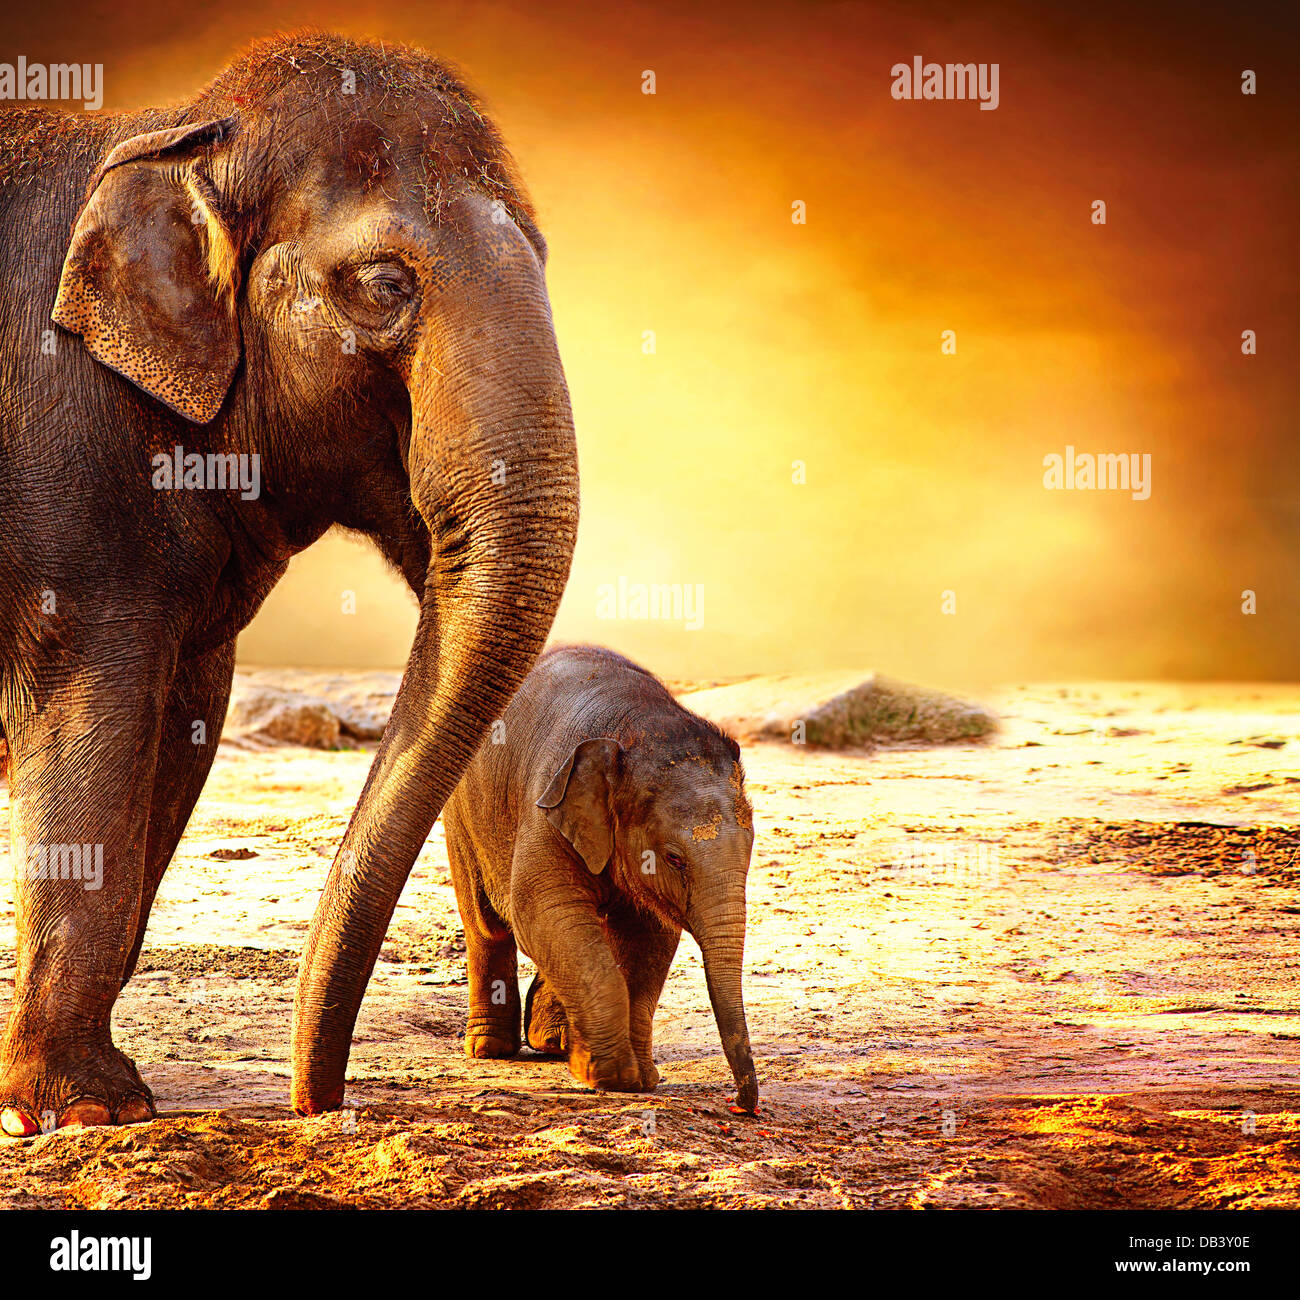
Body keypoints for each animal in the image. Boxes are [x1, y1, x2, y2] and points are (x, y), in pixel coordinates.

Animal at [0, 33, 579, 1134]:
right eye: (386, 284)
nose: (316, 1103)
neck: (176, 130)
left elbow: (179, 726)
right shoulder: (62, 474)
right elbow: (95, 718)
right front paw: (82, 1111)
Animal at [442, 644, 760, 1113]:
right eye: (674, 859)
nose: (741, 1102)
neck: (637, 724)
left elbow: (648, 939)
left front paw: (639, 1077)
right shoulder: (547, 803)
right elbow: (541, 912)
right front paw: (610, 1075)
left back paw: (553, 1041)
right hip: (463, 812)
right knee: (486, 923)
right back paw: (489, 1048)